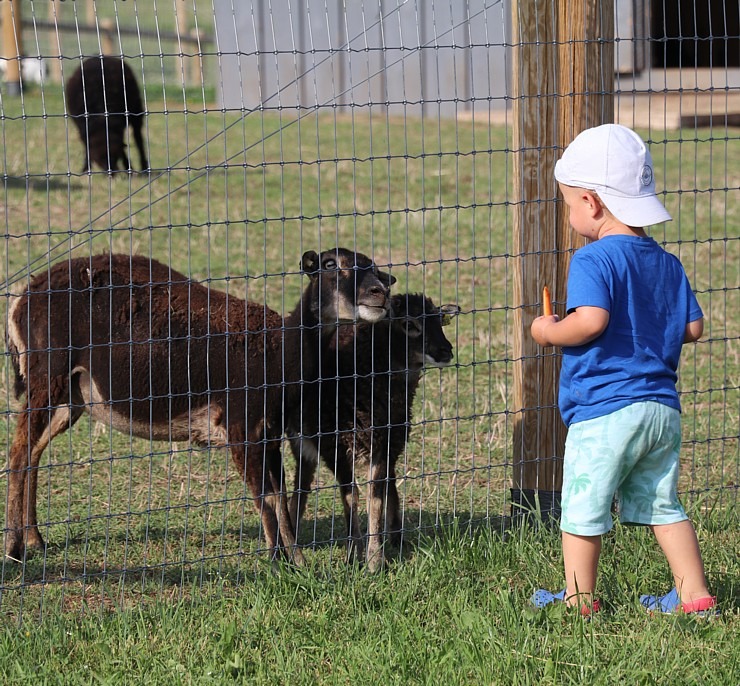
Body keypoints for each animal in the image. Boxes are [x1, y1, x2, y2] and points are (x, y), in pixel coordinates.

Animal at [4, 249, 394, 564]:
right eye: (331, 265)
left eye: (372, 266)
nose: (380, 292)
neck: (281, 354)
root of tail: (20, 300)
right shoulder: (242, 427)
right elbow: (265, 497)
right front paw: (281, 561)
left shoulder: (269, 432)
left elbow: (280, 496)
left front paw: (291, 558)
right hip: (46, 374)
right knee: (19, 452)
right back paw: (14, 548)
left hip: (72, 395)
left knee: (34, 452)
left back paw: (36, 539)